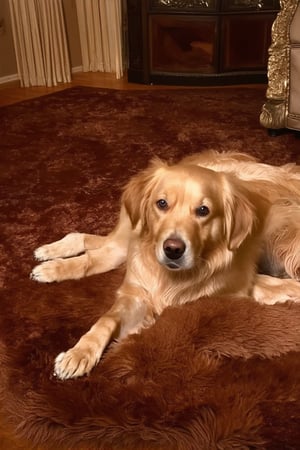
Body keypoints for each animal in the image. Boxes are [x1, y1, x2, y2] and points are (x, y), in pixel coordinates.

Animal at [31, 152, 300, 380]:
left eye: (203, 210)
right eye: (162, 204)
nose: (173, 249)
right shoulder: (136, 293)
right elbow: (106, 319)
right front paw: (79, 353)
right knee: (89, 249)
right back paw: (48, 262)